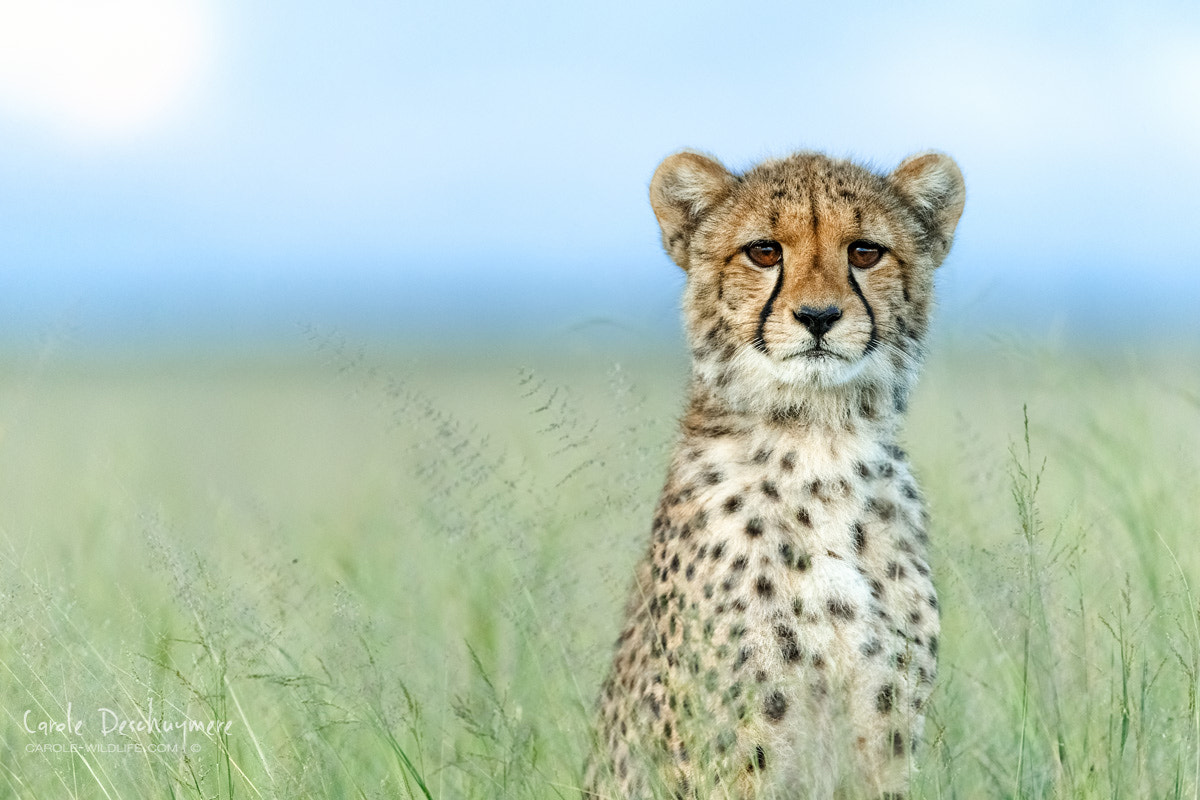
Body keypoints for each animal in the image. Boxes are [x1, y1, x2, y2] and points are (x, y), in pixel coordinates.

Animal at [582, 147, 965, 799]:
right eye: (764, 251)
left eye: (865, 251)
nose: (818, 316)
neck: (820, 446)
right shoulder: (736, 751)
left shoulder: (885, 738)